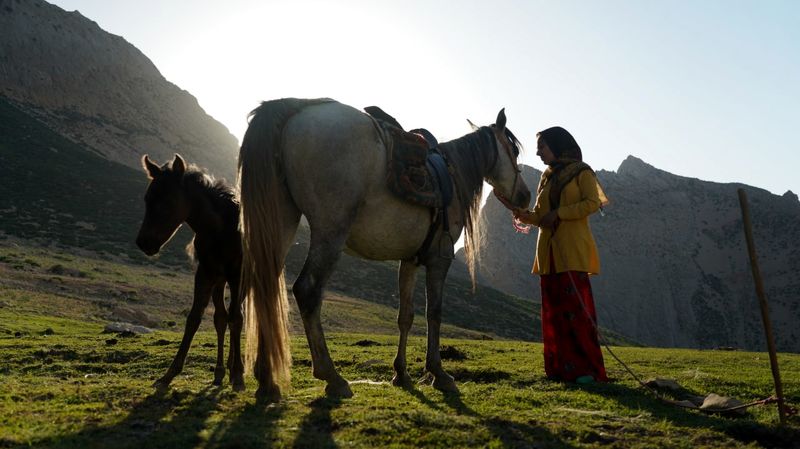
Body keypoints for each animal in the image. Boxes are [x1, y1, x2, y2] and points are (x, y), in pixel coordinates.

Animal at [238, 98, 532, 400]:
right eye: (513, 150)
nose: (525, 196)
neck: (452, 174)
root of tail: (296, 110)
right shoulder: (440, 258)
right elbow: (434, 313)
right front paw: (439, 373)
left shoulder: (410, 260)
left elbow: (406, 316)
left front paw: (401, 374)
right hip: (330, 232)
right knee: (307, 290)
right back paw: (331, 376)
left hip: (280, 224)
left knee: (265, 286)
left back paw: (266, 380)